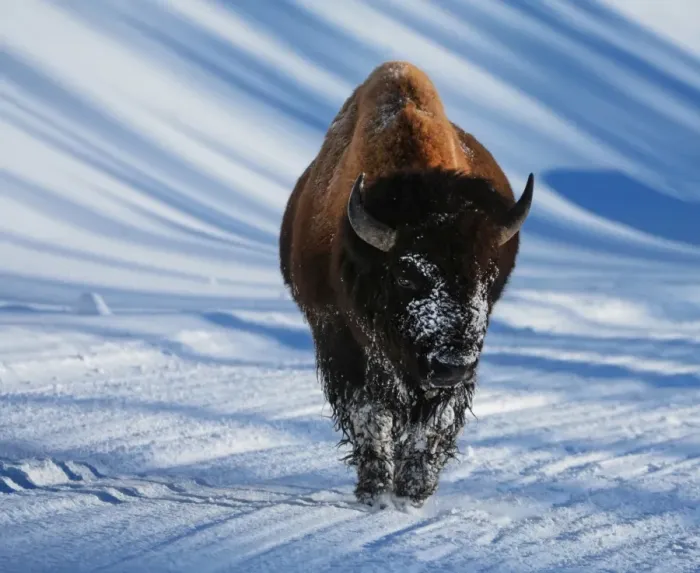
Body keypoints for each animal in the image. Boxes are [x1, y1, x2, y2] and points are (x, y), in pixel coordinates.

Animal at [279, 61, 534, 507]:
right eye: (405, 274)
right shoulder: (340, 343)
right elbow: (370, 415)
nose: (452, 365)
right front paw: (375, 489)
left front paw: (415, 489)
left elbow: (431, 423)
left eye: (487, 274)